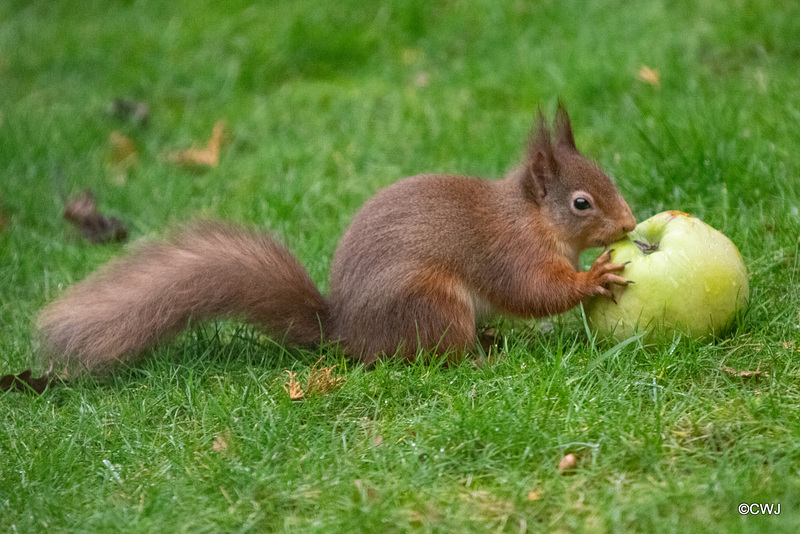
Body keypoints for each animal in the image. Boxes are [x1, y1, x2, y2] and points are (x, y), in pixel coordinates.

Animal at [39, 107, 636, 374]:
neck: (530, 218)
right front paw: (593, 276)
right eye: (581, 203)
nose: (630, 225)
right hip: (431, 302)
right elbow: (533, 291)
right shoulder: (509, 252)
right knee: (431, 355)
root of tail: (346, 331)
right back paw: (480, 357)